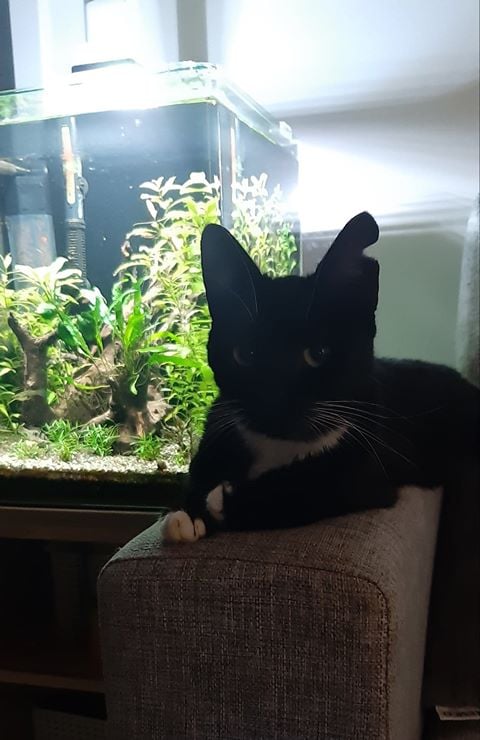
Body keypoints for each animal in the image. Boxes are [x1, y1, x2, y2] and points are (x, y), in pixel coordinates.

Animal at [162, 212, 479, 543]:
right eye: (246, 354)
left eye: (318, 353)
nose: (273, 398)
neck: (277, 447)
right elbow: (201, 466)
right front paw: (188, 514)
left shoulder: (368, 470)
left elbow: (309, 486)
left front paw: (222, 500)